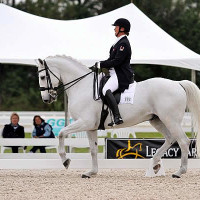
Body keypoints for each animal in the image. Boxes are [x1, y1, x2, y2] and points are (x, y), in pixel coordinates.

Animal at [36, 55, 200, 178]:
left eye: (43, 77)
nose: (46, 99)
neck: (82, 87)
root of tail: (178, 84)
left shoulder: (84, 122)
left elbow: (61, 133)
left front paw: (65, 161)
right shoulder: (91, 127)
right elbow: (93, 150)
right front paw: (91, 172)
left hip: (171, 120)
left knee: (183, 141)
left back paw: (179, 172)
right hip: (157, 120)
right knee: (170, 139)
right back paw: (154, 164)